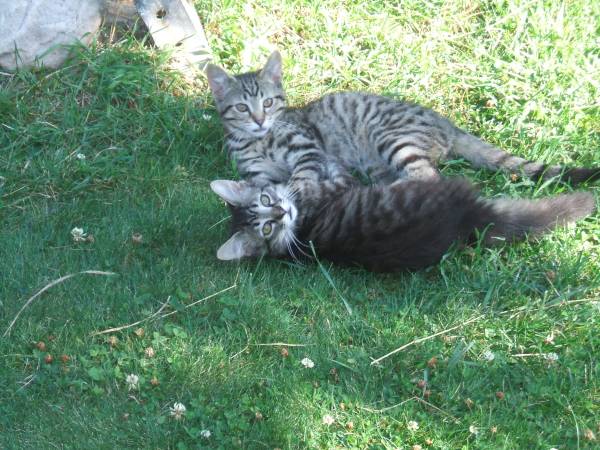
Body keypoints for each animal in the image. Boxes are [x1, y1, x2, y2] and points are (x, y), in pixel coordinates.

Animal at [206, 51, 600, 188]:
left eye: (269, 102)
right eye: (242, 108)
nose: (259, 120)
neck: (260, 141)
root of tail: (448, 125)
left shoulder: (308, 150)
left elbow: (301, 179)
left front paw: (299, 193)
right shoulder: (256, 173)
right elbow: (262, 185)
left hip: (392, 138)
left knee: (429, 178)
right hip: (378, 161)